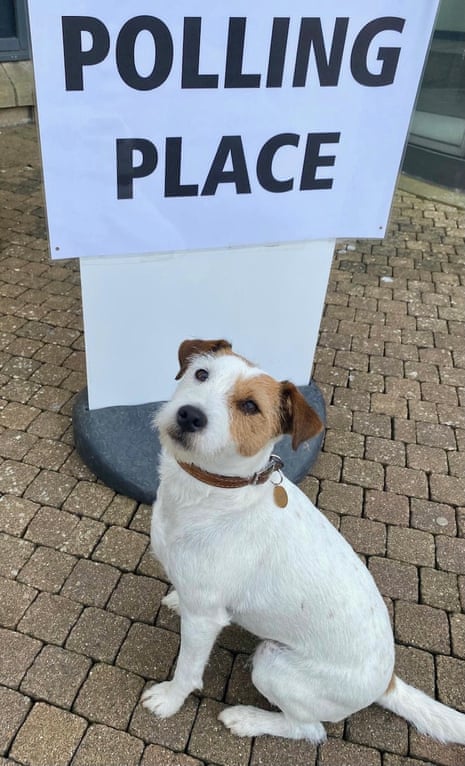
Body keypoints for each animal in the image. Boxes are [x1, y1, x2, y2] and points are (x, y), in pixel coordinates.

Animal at [141, 340, 464, 748]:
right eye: (201, 374)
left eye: (250, 406)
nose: (189, 415)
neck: (213, 491)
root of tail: (387, 684)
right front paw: (174, 600)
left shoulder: (204, 619)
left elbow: (188, 669)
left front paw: (169, 700)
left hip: (272, 664)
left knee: (309, 729)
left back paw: (247, 718)